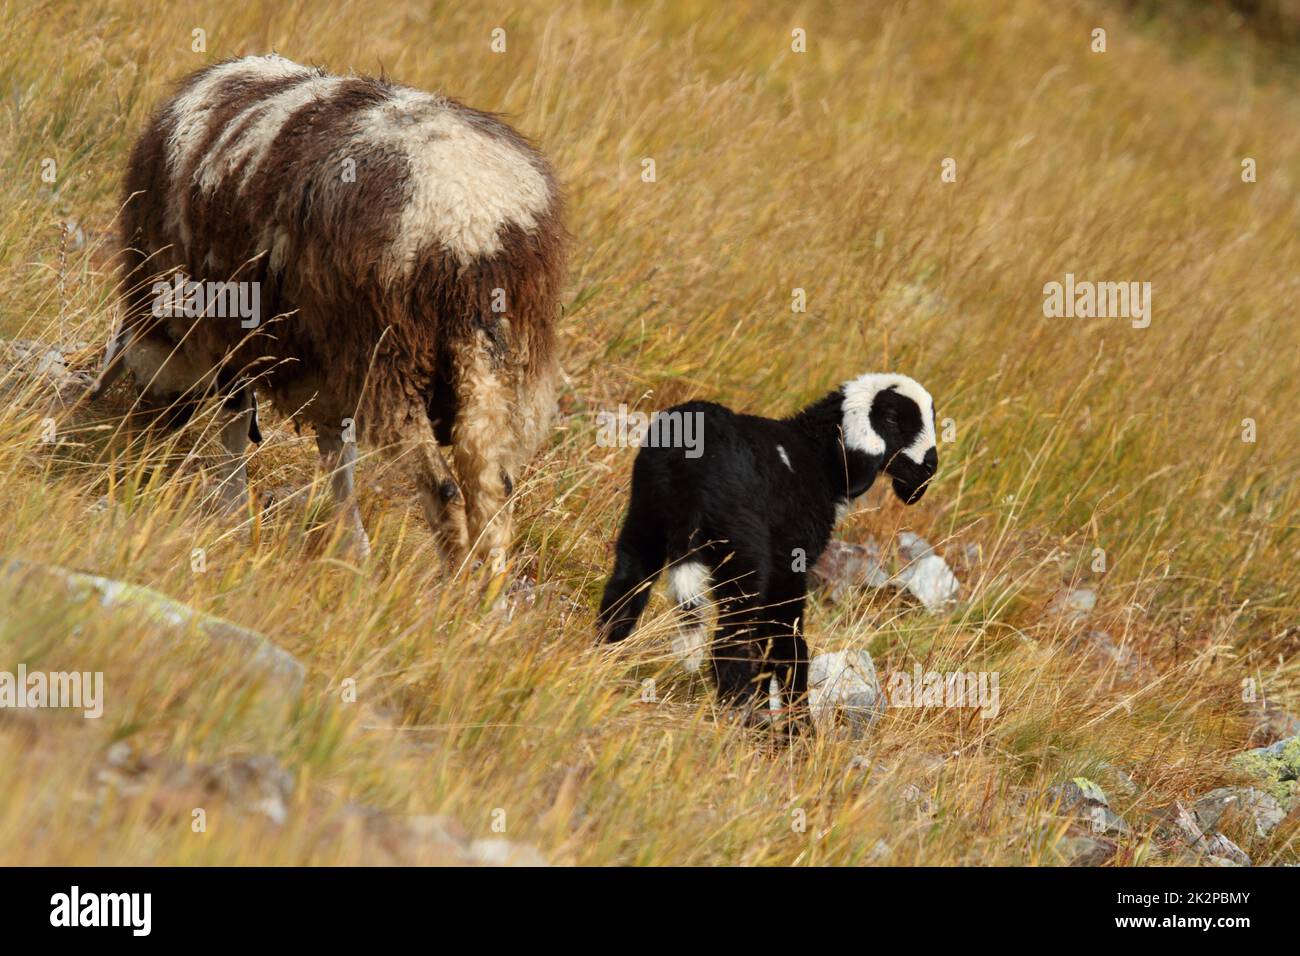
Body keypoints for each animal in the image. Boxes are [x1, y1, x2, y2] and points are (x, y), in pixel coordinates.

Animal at [94, 54, 572, 561]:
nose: (142, 443)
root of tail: (472, 224)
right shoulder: (321, 369)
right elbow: (337, 455)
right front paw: (352, 547)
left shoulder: (235, 335)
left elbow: (237, 424)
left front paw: (231, 511)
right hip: (501, 367)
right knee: (493, 488)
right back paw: (486, 583)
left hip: (387, 359)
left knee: (443, 489)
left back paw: (454, 576)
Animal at [595, 374, 941, 723]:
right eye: (893, 420)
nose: (930, 468)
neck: (819, 459)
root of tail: (687, 465)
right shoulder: (789, 564)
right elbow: (789, 646)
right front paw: (796, 729)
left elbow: (766, 646)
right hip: (744, 551)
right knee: (729, 643)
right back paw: (742, 717)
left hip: (645, 519)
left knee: (624, 591)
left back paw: (604, 659)